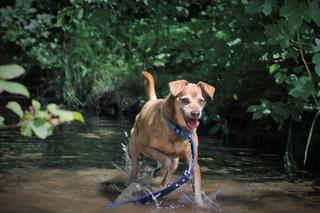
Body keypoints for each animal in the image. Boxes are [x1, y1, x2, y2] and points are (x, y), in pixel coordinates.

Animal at [128, 71, 215, 206]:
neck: (178, 129)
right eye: (185, 100)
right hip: (133, 147)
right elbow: (166, 161)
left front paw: (201, 205)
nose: (196, 113)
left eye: (202, 101)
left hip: (176, 162)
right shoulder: (145, 146)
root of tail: (152, 101)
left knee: (168, 173)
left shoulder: (193, 162)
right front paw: (157, 172)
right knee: (135, 169)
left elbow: (196, 189)